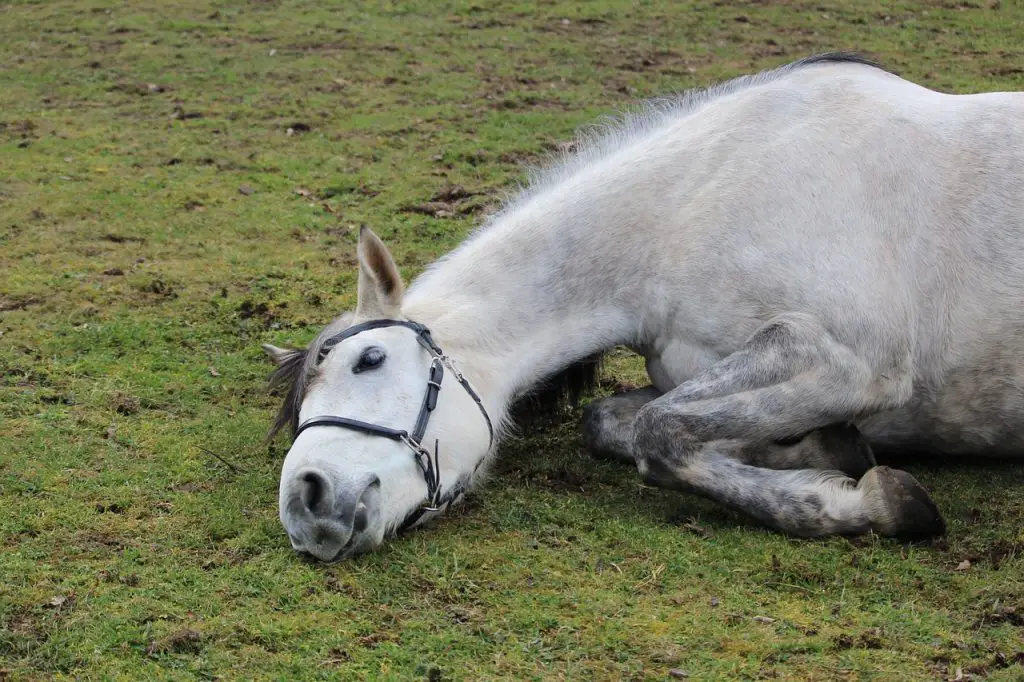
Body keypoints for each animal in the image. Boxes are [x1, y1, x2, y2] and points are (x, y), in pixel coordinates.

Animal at [262, 53, 1024, 561]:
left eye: (370, 359)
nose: (305, 501)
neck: (687, 212)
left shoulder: (847, 358)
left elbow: (661, 434)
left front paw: (866, 501)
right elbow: (612, 423)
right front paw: (821, 448)